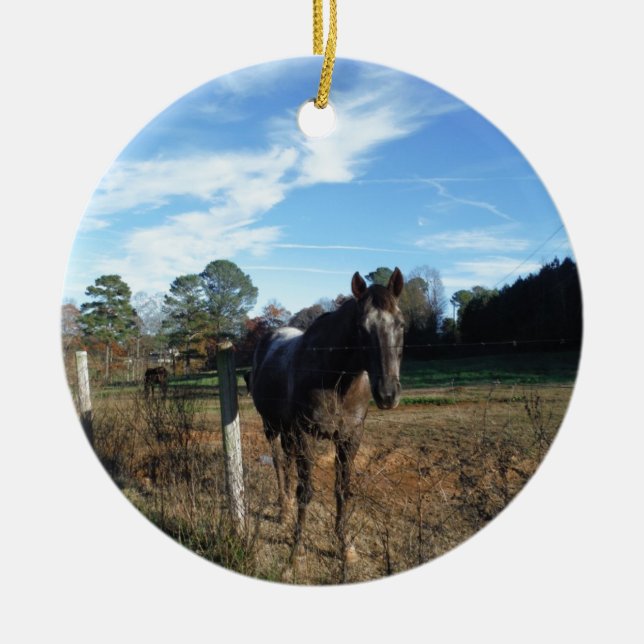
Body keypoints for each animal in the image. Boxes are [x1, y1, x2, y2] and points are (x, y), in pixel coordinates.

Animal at [251, 268, 404, 564]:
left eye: (401, 324)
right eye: (360, 327)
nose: (387, 394)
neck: (336, 379)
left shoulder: (350, 437)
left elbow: (342, 490)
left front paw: (345, 546)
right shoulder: (304, 434)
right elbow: (306, 490)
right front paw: (297, 548)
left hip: (287, 431)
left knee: (286, 461)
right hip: (272, 426)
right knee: (279, 464)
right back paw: (283, 510)